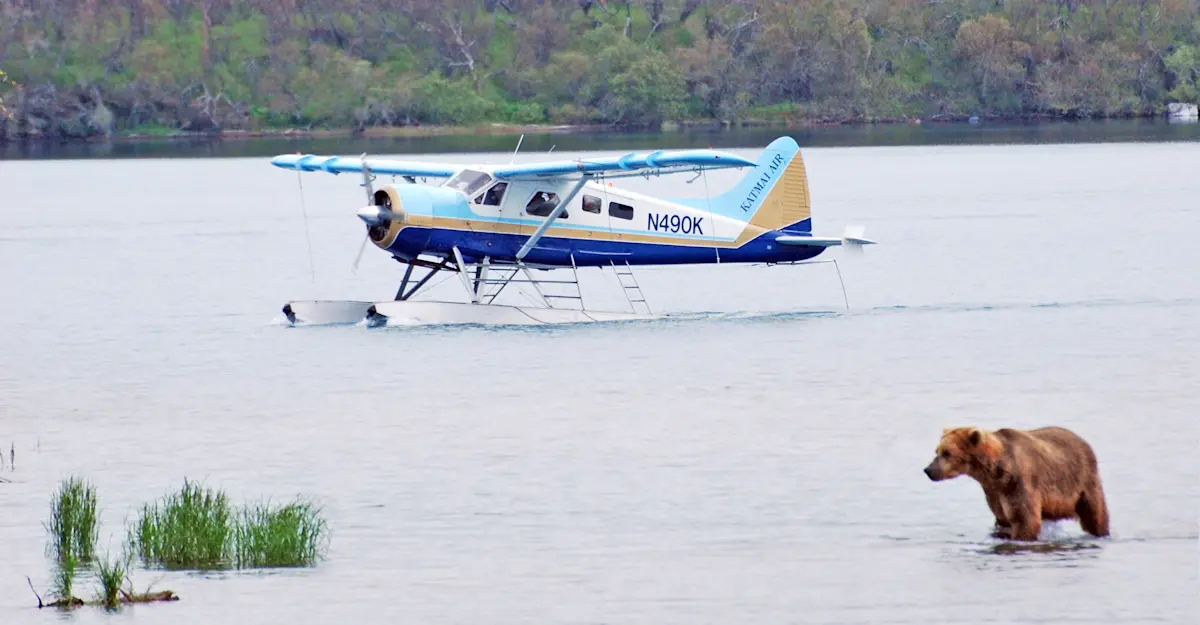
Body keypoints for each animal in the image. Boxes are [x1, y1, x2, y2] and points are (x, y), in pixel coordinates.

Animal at [923, 426, 1109, 541]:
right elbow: (1003, 519)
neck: (994, 471)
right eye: (937, 451)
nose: (928, 470)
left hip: (1083, 482)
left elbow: (1025, 519)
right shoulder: (994, 492)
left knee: (1095, 514)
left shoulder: (1018, 483)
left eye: (947, 453)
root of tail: (1084, 441)